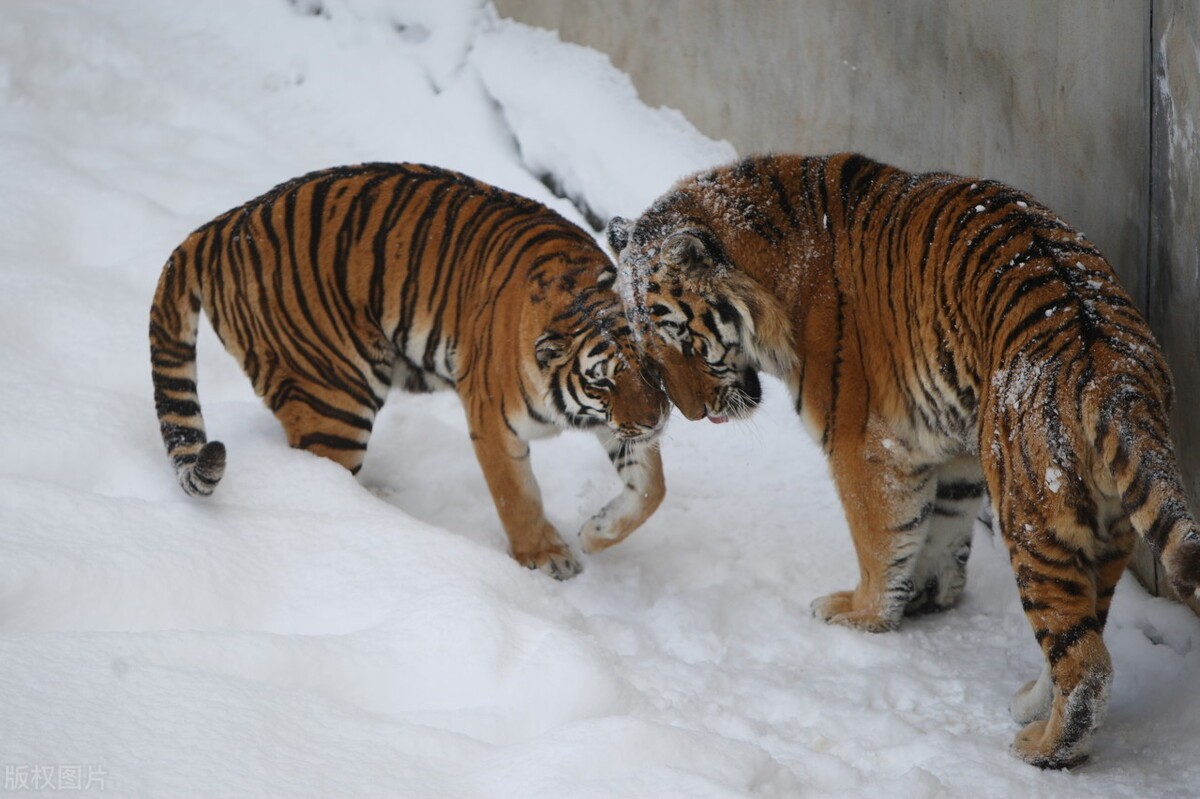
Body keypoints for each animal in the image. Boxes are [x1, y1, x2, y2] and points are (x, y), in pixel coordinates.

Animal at [150, 160, 672, 578]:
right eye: (600, 380)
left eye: (648, 369)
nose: (656, 421)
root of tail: (221, 226)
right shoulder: (494, 421)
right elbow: (517, 497)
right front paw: (546, 557)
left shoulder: (619, 424)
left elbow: (651, 490)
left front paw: (596, 532)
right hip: (334, 397)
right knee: (322, 475)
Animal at [609, 152, 1200, 767]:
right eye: (649, 350)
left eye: (682, 339)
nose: (693, 414)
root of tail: (1113, 372)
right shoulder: (955, 451)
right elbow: (937, 527)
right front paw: (926, 595)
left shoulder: (863, 442)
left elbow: (878, 538)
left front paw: (862, 613)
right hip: (1105, 522)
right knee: (1084, 630)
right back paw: (1033, 706)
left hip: (1031, 516)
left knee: (1086, 664)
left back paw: (1045, 749)